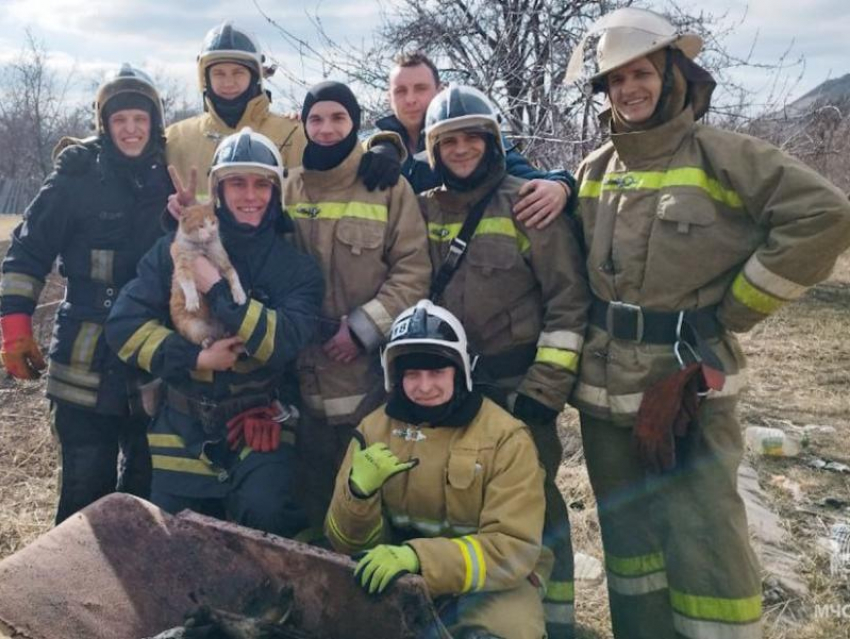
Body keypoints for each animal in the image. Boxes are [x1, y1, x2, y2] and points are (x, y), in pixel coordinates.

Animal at [166, 202, 243, 348]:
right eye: (201, 226)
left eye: (213, 222)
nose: (212, 232)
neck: (202, 247)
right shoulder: (181, 263)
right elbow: (187, 281)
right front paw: (192, 299)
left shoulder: (223, 262)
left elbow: (234, 276)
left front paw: (240, 295)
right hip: (192, 326)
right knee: (199, 338)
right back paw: (207, 341)